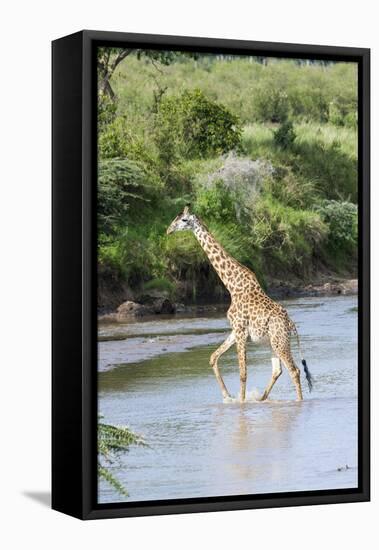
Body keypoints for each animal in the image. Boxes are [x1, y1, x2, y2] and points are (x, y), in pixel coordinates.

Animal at [167, 207, 314, 406]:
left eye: (183, 220)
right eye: (175, 218)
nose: (169, 230)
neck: (232, 285)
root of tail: (291, 325)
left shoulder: (241, 331)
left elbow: (243, 373)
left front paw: (241, 404)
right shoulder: (236, 330)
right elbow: (213, 357)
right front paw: (227, 396)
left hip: (280, 341)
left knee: (294, 370)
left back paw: (298, 402)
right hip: (273, 343)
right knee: (278, 370)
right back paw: (262, 399)